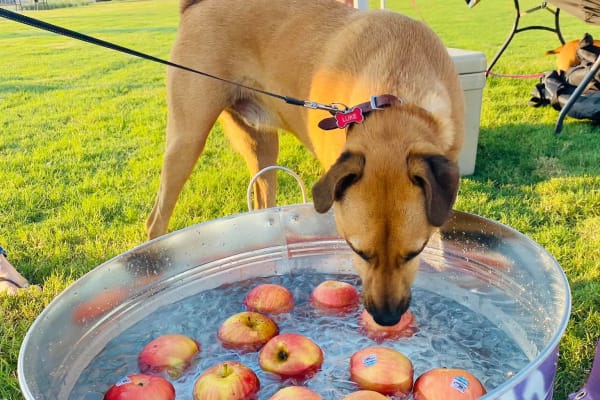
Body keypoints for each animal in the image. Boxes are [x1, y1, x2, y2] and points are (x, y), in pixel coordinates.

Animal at [148, 0, 466, 326]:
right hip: (187, 139)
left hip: (262, 144)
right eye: (357, 250)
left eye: (417, 252)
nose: (386, 318)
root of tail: (195, 5)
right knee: (155, 220)